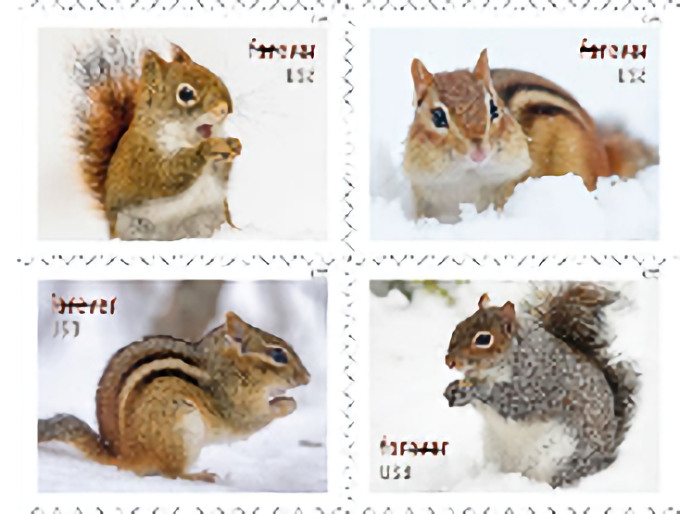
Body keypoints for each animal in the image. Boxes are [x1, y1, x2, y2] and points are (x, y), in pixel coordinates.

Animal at [38, 312, 310, 482]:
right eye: (278, 355)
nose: (308, 378)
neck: (228, 367)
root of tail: (122, 455)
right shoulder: (236, 406)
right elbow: (253, 419)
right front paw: (287, 404)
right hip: (181, 427)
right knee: (171, 473)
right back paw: (198, 476)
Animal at [73, 34, 242, 240]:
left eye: (213, 75)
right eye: (186, 93)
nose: (224, 109)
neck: (188, 138)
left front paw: (234, 144)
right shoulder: (143, 159)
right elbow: (167, 174)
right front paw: (206, 149)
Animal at [443, 282, 639, 488]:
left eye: (483, 339)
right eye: (458, 326)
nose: (450, 361)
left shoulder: (539, 382)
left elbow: (514, 399)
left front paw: (475, 390)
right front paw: (454, 390)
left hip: (561, 457)